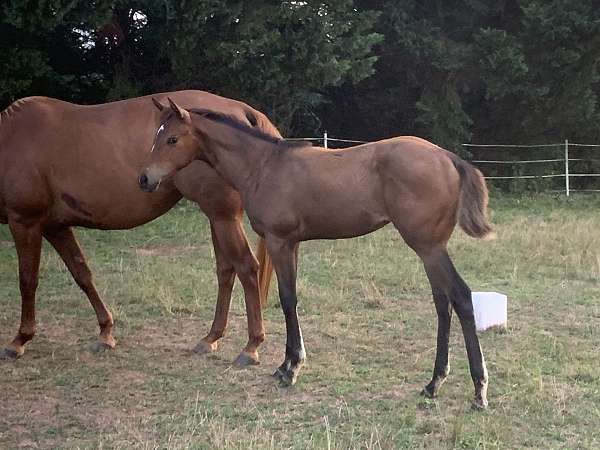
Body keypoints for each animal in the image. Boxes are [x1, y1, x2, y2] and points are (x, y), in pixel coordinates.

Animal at [0, 90, 276, 366]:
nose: (144, 179)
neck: (11, 137)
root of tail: (243, 110)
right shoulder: (55, 226)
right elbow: (82, 274)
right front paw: (106, 332)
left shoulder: (25, 222)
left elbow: (27, 280)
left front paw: (19, 340)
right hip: (218, 219)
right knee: (226, 270)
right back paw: (211, 338)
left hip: (223, 217)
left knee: (247, 268)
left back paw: (251, 346)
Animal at [142, 100, 496, 410]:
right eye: (156, 135)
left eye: (172, 138)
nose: (145, 179)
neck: (263, 166)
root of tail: (448, 157)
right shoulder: (292, 244)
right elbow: (291, 299)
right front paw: (286, 364)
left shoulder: (279, 241)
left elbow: (287, 299)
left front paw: (291, 369)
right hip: (430, 250)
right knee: (443, 304)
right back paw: (434, 383)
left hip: (428, 247)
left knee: (461, 297)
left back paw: (478, 391)